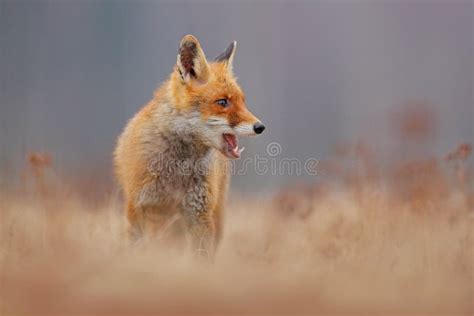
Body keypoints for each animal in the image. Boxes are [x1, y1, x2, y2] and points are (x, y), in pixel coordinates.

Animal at [113, 34, 264, 256]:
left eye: (242, 101)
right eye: (223, 102)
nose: (260, 126)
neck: (177, 170)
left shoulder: (199, 213)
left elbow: (200, 257)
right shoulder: (138, 207)